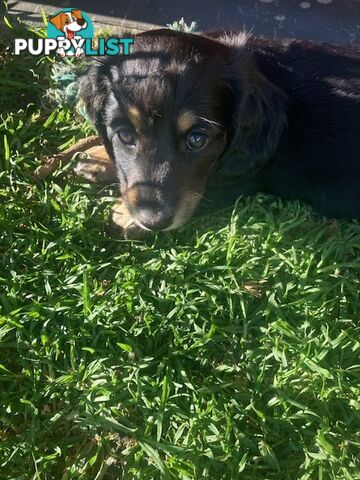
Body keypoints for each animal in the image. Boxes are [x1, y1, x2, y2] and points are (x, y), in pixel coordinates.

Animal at [76, 29, 360, 235]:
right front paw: (98, 157)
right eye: (125, 136)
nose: (153, 221)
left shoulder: (245, 174)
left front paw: (124, 214)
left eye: (197, 140)